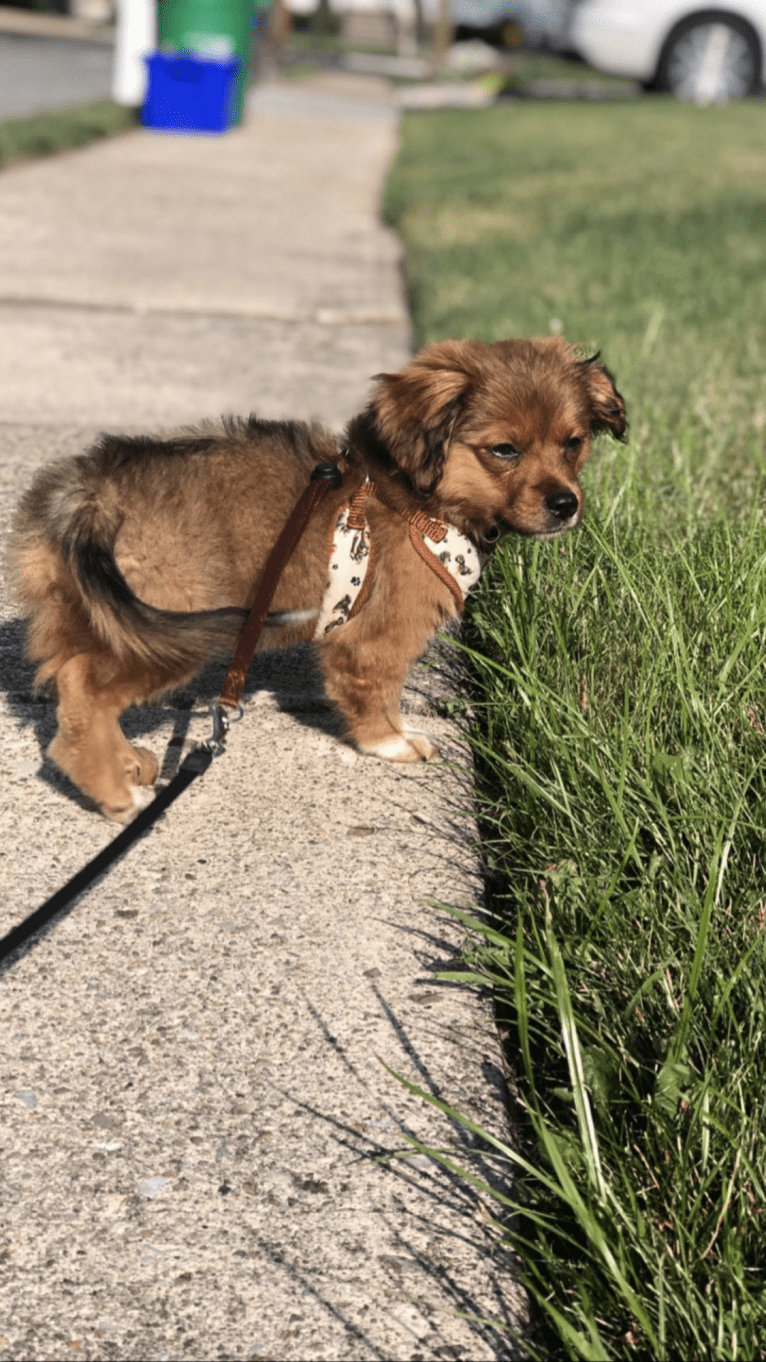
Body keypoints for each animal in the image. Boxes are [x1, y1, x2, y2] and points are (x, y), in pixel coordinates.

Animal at [5, 336, 624, 817]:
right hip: (167, 634)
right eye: (504, 450)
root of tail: (89, 492)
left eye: (573, 442)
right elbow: (377, 692)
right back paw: (115, 794)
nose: (566, 505)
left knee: (71, 684)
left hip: (110, 617)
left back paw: (125, 762)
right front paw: (392, 744)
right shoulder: (374, 639)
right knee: (83, 688)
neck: (419, 497)